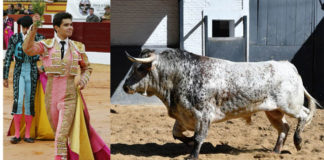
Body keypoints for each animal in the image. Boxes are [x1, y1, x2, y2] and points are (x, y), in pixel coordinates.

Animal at [123, 49, 320, 160]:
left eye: (139, 68)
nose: (125, 87)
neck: (180, 75)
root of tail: (288, 66)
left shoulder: (203, 115)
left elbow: (198, 137)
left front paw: (192, 155)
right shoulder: (183, 115)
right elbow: (177, 134)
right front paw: (188, 142)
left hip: (290, 106)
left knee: (304, 115)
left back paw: (298, 142)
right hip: (274, 111)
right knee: (284, 128)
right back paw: (276, 151)